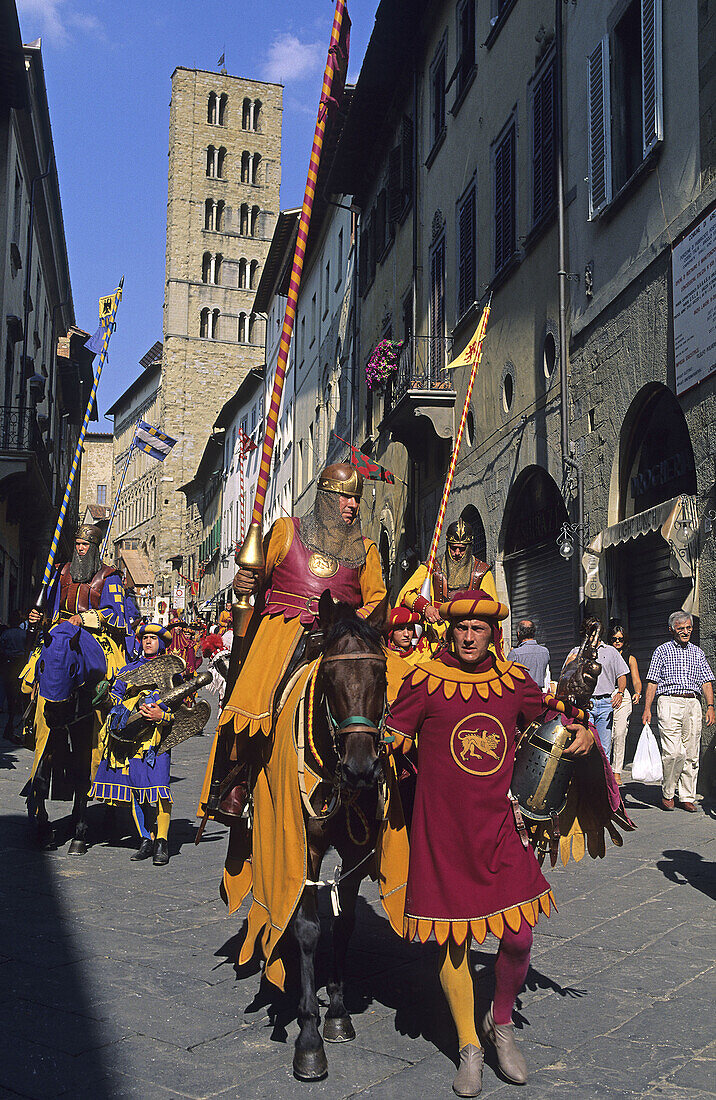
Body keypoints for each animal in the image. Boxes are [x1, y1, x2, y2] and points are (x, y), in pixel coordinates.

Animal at [23, 624, 115, 853]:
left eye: (73, 668)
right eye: (42, 665)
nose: (54, 715)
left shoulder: (84, 738)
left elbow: (82, 780)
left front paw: (79, 836)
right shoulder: (49, 738)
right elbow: (41, 781)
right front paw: (44, 830)